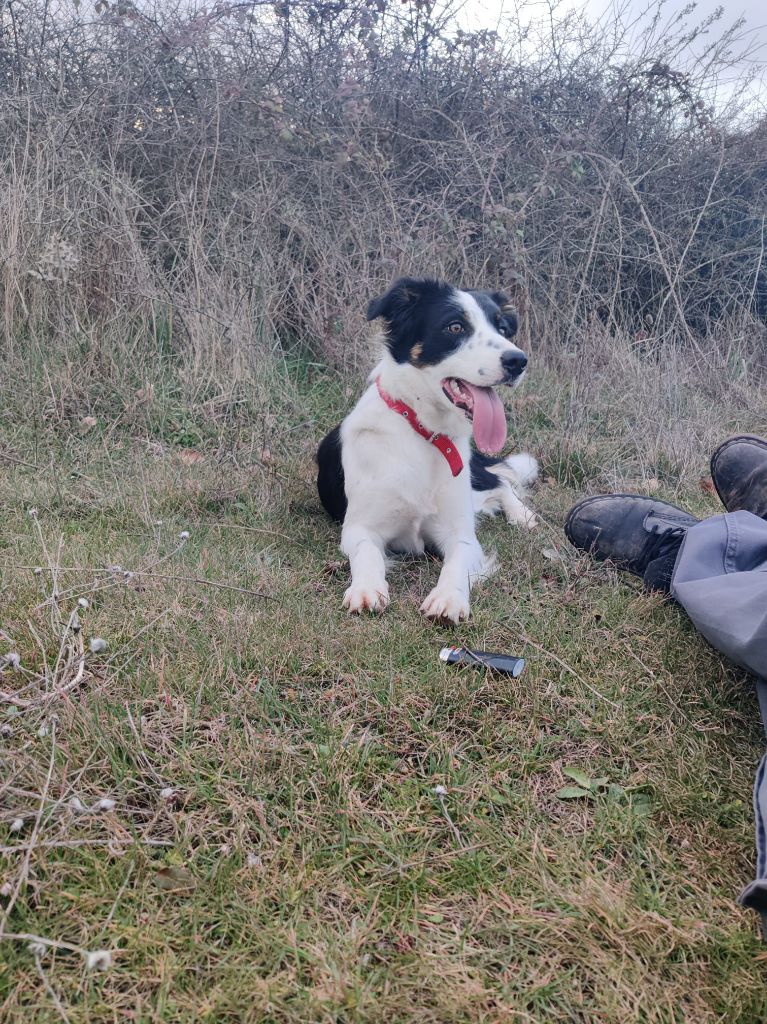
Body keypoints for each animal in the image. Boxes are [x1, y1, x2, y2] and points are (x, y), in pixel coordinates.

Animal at [313, 276, 536, 618]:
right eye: (455, 327)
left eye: (501, 328)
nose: (518, 361)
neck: (425, 434)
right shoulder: (359, 528)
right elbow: (367, 554)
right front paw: (366, 588)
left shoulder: (461, 534)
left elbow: (456, 564)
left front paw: (449, 598)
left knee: (499, 482)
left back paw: (521, 514)